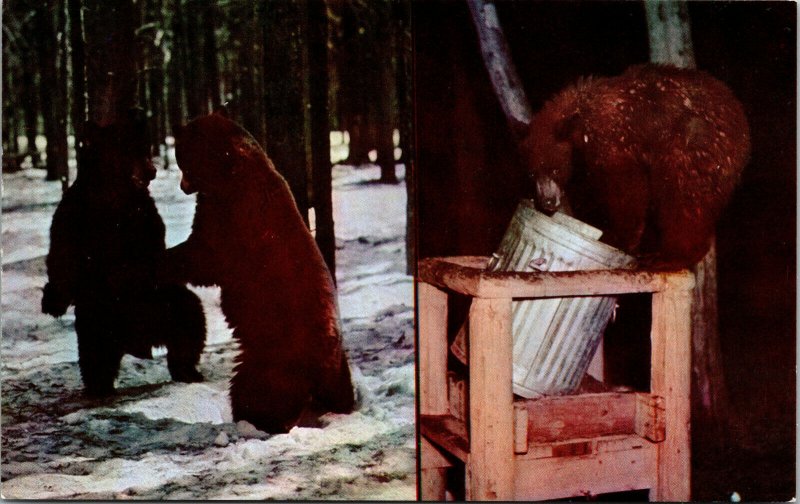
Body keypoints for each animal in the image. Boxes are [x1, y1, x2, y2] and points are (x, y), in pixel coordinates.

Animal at [42, 110, 208, 398]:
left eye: (145, 148)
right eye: (129, 149)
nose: (152, 170)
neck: (112, 194)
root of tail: (137, 341)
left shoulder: (139, 215)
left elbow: (145, 251)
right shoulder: (76, 213)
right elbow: (63, 254)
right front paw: (53, 302)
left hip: (162, 305)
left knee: (189, 320)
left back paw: (188, 371)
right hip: (97, 315)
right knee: (95, 349)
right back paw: (99, 386)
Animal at [165, 110, 354, 434]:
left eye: (181, 158)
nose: (182, 187)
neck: (228, 170)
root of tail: (325, 368)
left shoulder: (234, 216)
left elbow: (204, 256)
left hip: (272, 358)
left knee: (254, 391)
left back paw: (252, 421)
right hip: (337, 368)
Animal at [524, 65, 752, 270]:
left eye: (555, 169)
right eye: (533, 173)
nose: (547, 201)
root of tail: (743, 138)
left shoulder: (613, 142)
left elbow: (628, 190)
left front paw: (618, 238)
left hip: (690, 151)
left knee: (680, 201)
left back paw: (670, 257)